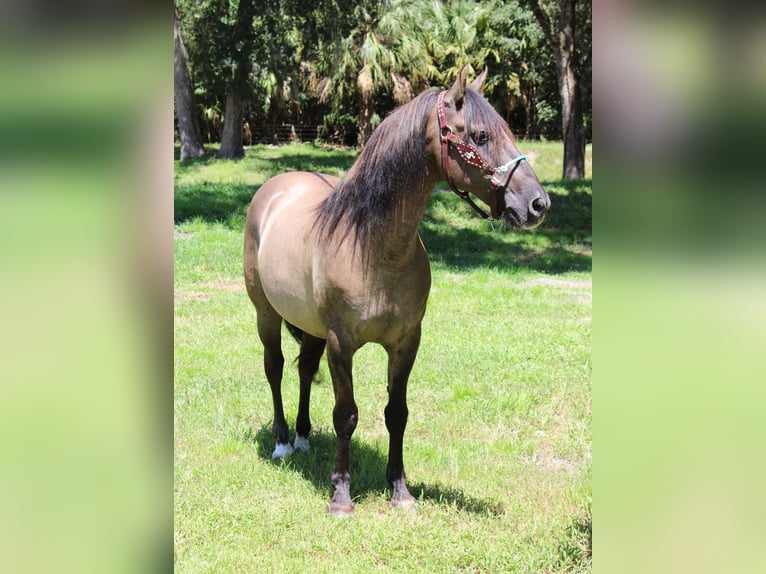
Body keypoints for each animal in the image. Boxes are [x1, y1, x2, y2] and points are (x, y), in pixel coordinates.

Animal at [244, 66, 550, 516]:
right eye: (479, 136)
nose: (538, 204)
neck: (373, 247)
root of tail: (275, 187)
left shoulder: (406, 342)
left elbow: (397, 413)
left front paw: (400, 492)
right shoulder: (341, 344)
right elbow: (346, 416)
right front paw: (341, 497)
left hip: (311, 327)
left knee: (303, 370)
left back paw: (302, 437)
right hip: (266, 314)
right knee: (276, 367)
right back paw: (283, 442)